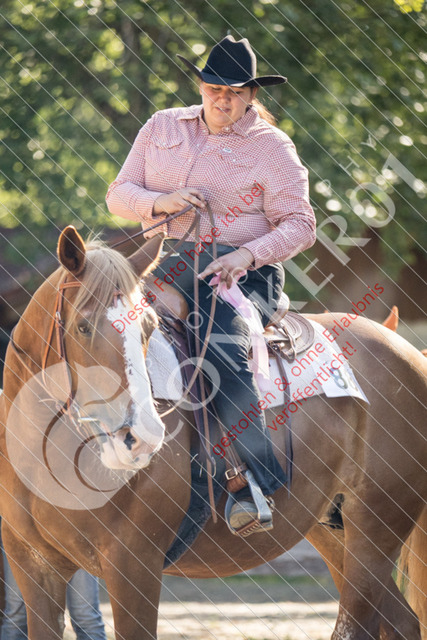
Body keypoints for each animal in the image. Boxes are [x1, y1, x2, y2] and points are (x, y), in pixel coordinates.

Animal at [0, 226, 425, 640]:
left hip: (376, 527)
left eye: (149, 328)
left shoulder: (133, 564)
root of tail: (408, 352)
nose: (143, 438)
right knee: (401, 623)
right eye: (83, 326)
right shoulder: (33, 566)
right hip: (335, 531)